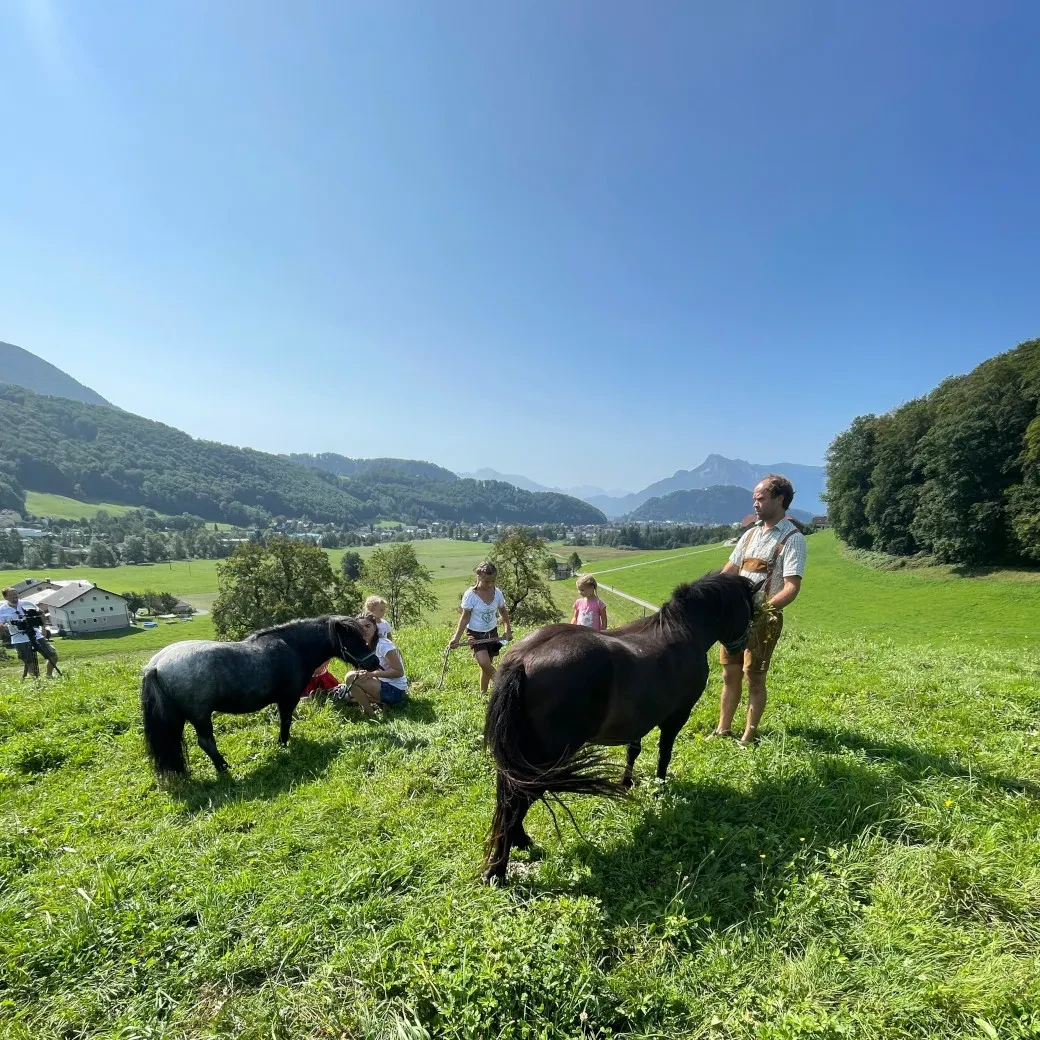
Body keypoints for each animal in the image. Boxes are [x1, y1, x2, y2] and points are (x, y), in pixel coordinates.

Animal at [140, 615, 378, 773]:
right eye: (352, 639)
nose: (374, 662)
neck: (294, 648)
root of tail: (156, 665)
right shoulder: (288, 698)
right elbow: (285, 721)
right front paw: (283, 743)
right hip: (200, 716)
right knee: (206, 742)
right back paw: (223, 767)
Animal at [478, 574, 757, 881]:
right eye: (751, 607)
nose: (744, 645)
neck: (683, 632)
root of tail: (523, 660)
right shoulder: (676, 716)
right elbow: (664, 753)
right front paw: (659, 788)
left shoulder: (638, 721)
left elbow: (633, 750)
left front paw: (627, 783)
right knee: (518, 799)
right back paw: (498, 868)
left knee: (509, 794)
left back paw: (519, 840)